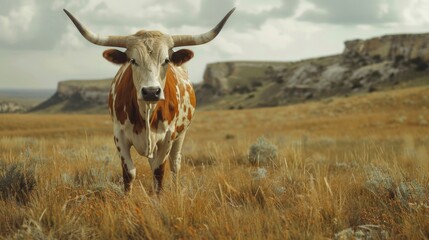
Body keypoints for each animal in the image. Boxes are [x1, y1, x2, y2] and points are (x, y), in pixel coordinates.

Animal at [64, 7, 234, 193]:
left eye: (166, 60)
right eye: (133, 60)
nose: (151, 92)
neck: (146, 110)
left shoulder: (167, 137)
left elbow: (159, 172)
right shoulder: (119, 135)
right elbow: (129, 173)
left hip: (181, 135)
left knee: (175, 164)